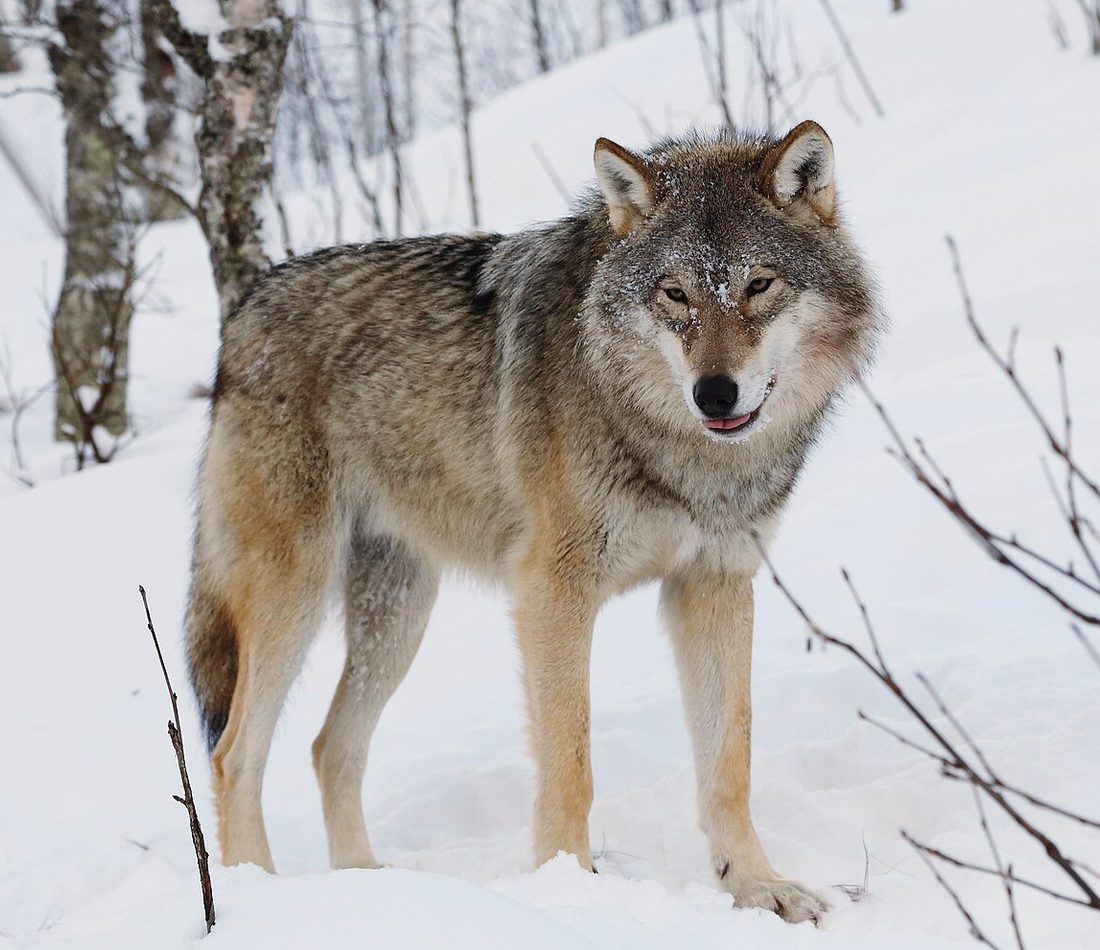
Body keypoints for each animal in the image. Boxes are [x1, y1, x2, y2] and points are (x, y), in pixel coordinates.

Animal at [186, 120, 882, 924]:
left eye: (758, 286)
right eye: (675, 294)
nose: (714, 393)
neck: (677, 448)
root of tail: (244, 309)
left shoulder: (713, 585)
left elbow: (728, 761)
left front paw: (757, 887)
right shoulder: (553, 590)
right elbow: (570, 761)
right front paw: (570, 890)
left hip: (398, 616)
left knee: (331, 748)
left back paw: (373, 888)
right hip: (293, 599)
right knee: (235, 753)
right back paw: (257, 896)